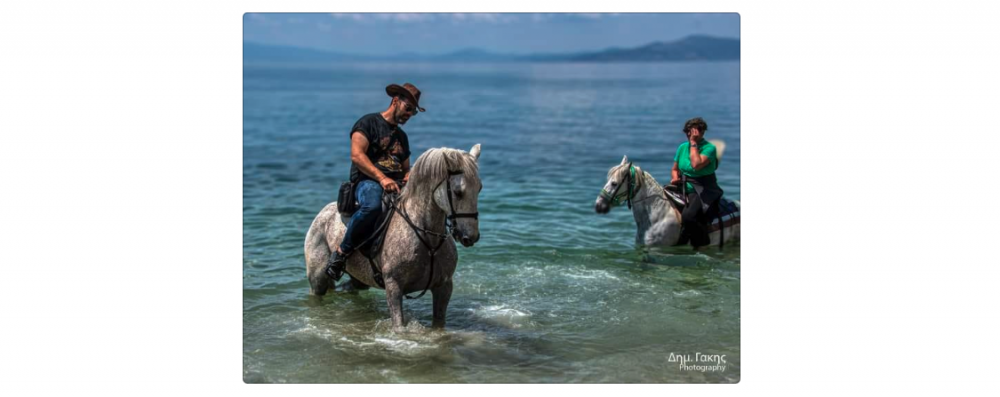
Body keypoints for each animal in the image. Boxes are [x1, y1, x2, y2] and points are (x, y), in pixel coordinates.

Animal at [304, 144, 484, 330]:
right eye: (458, 192)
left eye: (479, 188)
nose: (470, 236)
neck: (427, 239)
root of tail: (324, 212)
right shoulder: (393, 287)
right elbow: (398, 325)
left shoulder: (444, 286)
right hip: (317, 278)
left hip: (359, 278)